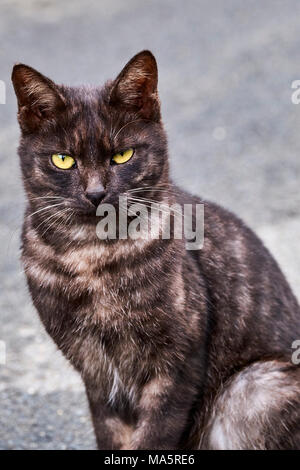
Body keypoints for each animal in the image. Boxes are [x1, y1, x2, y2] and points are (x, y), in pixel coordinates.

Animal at [11, 49, 300, 450]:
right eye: (63, 160)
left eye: (123, 155)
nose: (96, 193)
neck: (91, 258)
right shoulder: (95, 374)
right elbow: (112, 437)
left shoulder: (176, 364)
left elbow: (154, 435)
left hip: (252, 386)